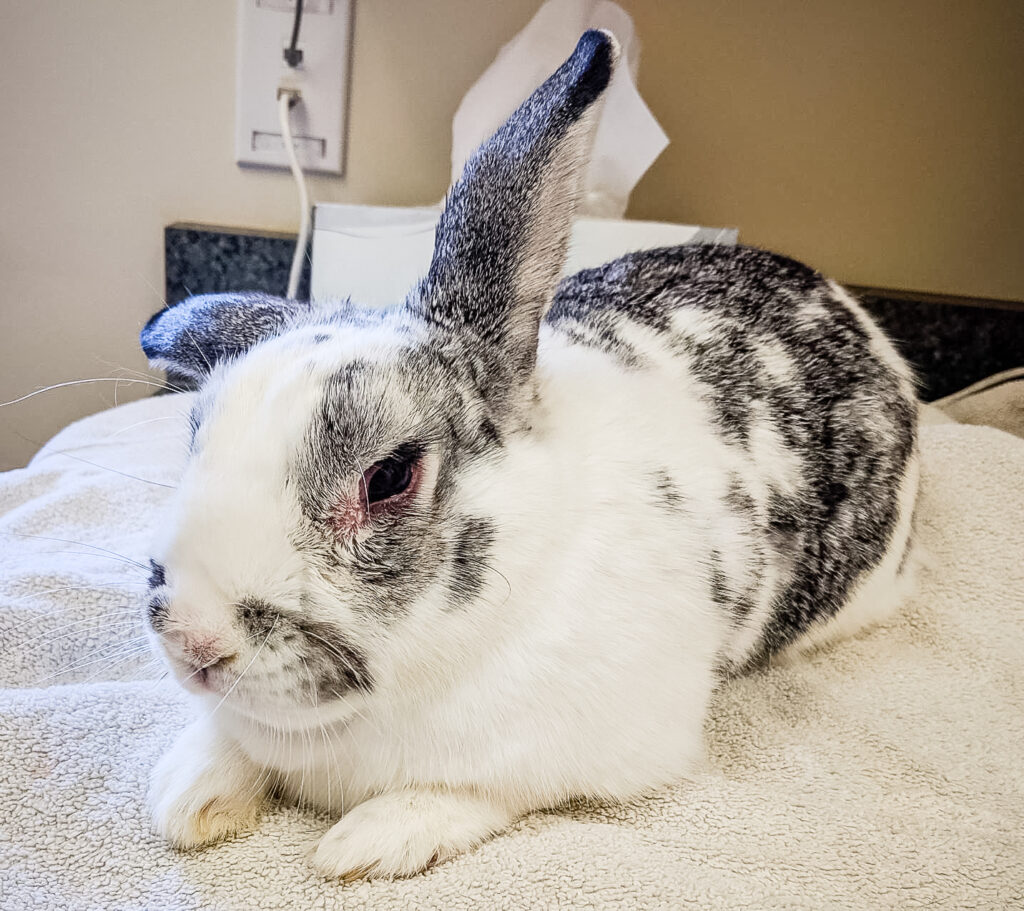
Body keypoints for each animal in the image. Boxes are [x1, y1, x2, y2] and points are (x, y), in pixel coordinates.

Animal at [140, 30, 919, 881]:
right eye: (195, 436)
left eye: (388, 476)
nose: (195, 640)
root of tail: (845, 303)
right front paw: (188, 799)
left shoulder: (601, 747)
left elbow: (485, 792)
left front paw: (368, 841)